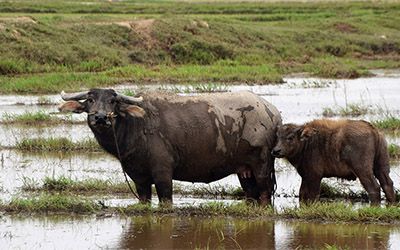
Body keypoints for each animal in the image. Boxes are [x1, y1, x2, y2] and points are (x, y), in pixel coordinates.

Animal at [58, 89, 282, 204]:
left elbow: (165, 198)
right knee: (251, 193)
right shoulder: (139, 178)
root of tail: (272, 113)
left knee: (265, 193)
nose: (101, 117)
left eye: (113, 101)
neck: (136, 127)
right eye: (90, 99)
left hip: (262, 165)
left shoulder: (163, 173)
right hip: (244, 170)